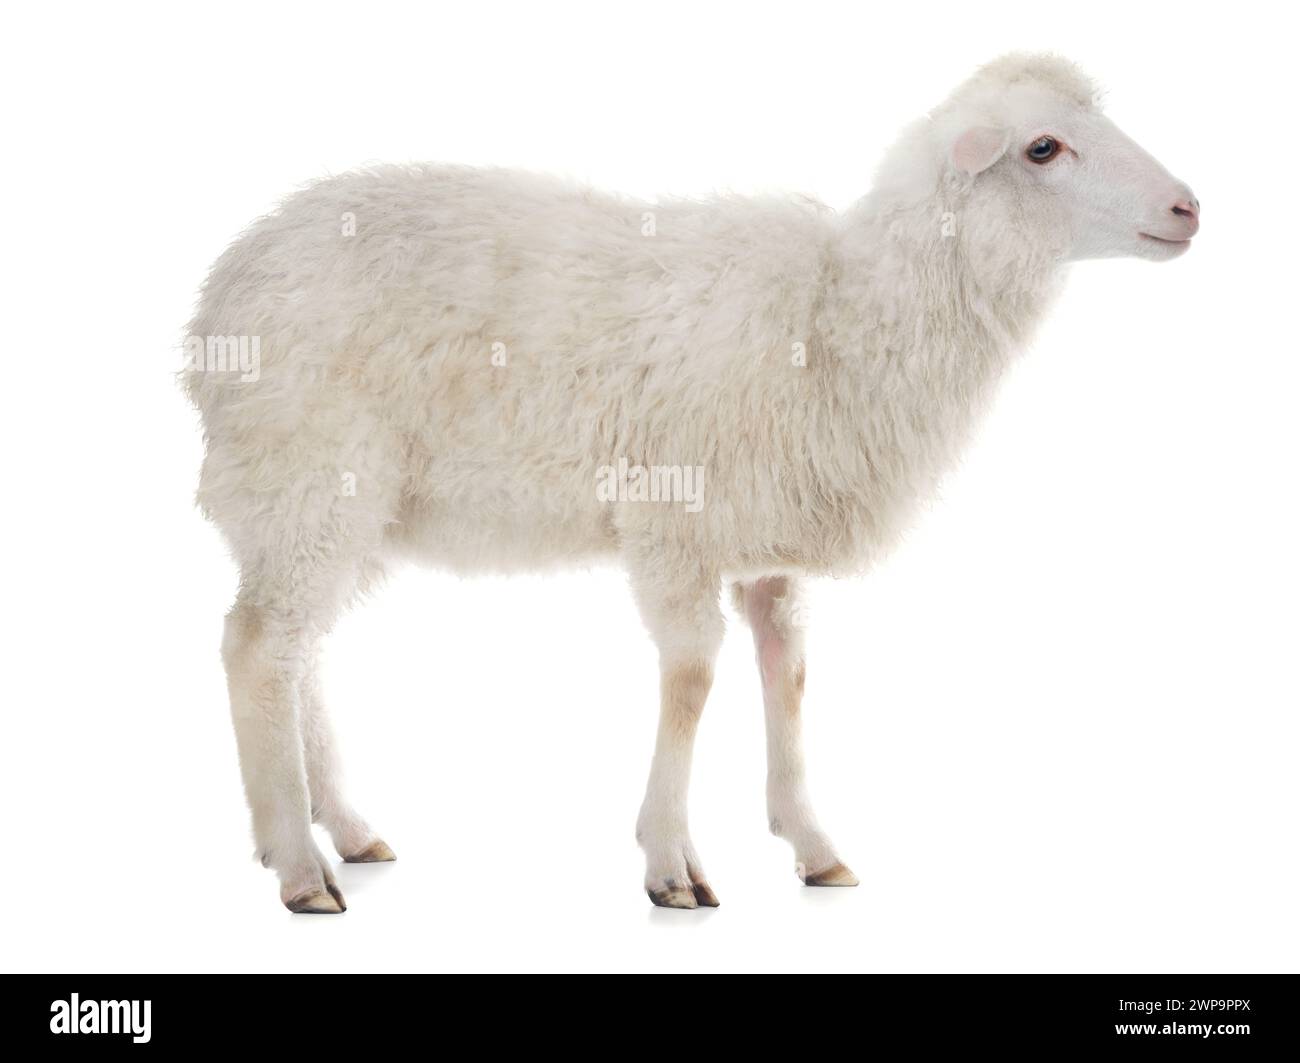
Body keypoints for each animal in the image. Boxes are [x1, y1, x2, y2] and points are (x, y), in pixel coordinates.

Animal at [184, 53, 1199, 913]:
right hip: (309, 468)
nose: (1190, 207)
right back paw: (298, 862)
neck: (838, 310)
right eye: (1043, 147)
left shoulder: (770, 535)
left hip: (336, 502)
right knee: (255, 647)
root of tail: (223, 292)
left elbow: (788, 675)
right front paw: (671, 860)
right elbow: (693, 678)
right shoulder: (673, 519)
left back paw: (346, 829)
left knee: (298, 649)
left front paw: (812, 844)